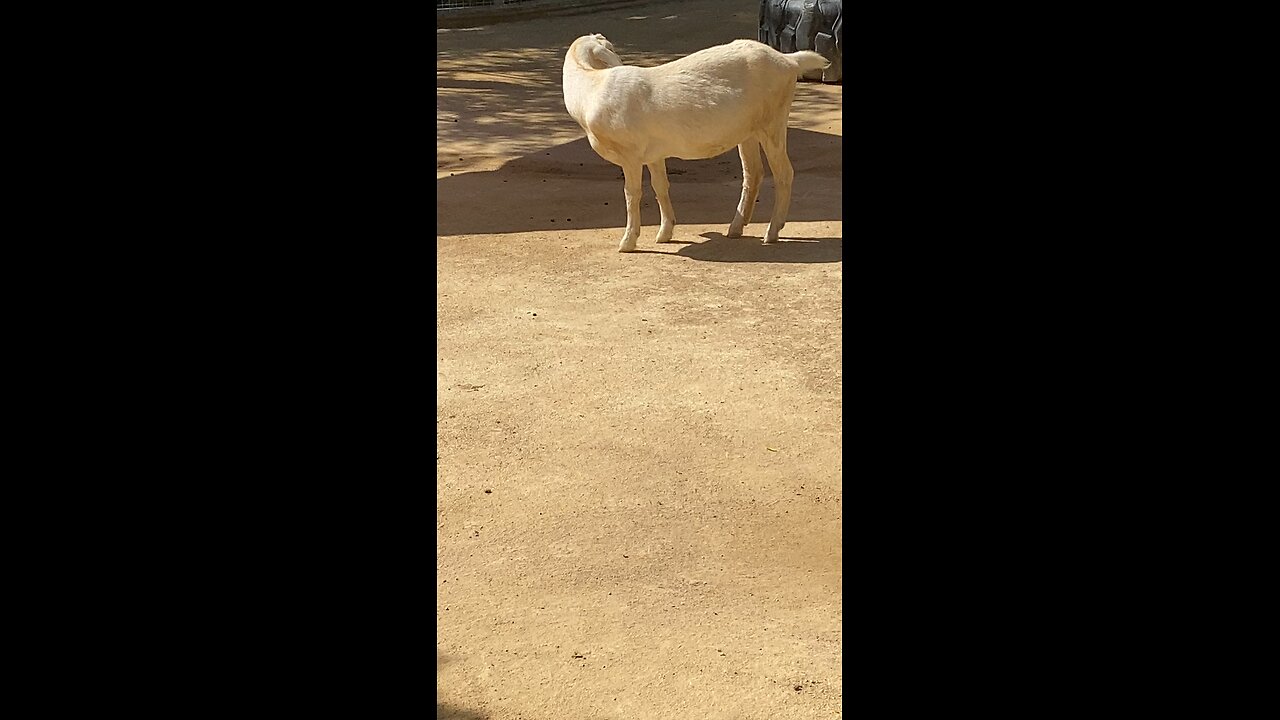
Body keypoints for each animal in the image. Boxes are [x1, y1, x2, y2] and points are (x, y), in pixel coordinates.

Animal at [562, 34, 829, 252]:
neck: (591, 89)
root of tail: (789, 61)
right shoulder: (654, 154)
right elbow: (661, 187)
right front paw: (665, 232)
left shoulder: (631, 155)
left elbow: (632, 194)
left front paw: (628, 242)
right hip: (748, 132)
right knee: (753, 173)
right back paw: (735, 228)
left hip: (773, 122)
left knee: (784, 173)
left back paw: (772, 232)